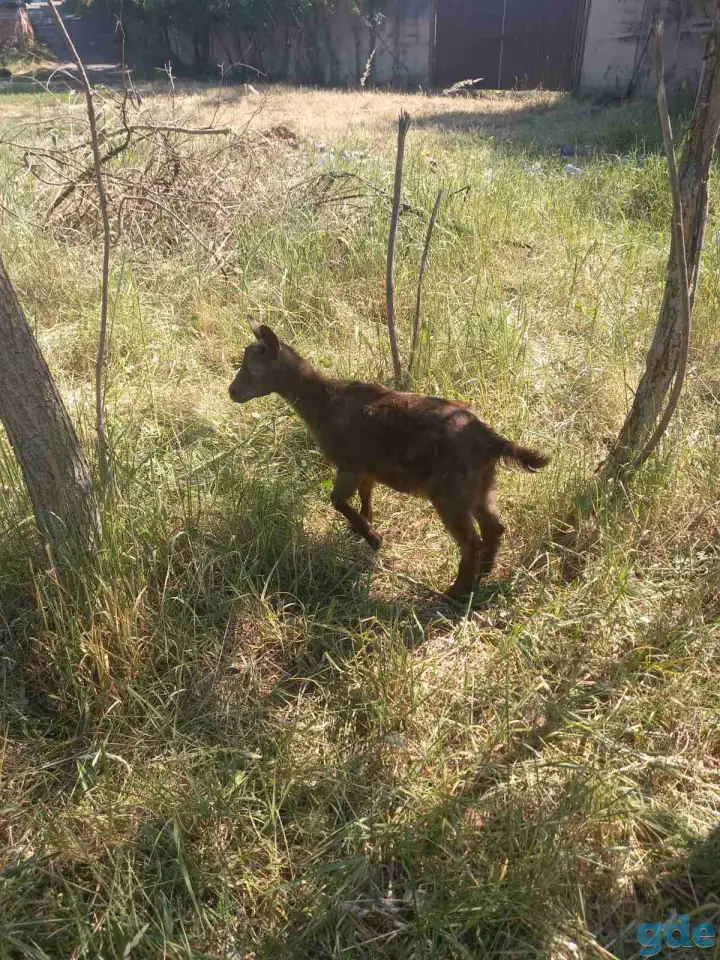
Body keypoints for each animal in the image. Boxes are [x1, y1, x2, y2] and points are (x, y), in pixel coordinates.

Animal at [229, 322, 549, 597]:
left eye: (254, 368)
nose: (232, 393)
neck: (325, 401)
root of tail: (489, 438)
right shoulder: (365, 467)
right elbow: (365, 495)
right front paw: (363, 525)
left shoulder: (348, 464)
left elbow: (337, 500)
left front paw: (373, 538)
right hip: (481, 484)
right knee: (494, 527)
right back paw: (483, 574)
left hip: (450, 492)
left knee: (471, 542)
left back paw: (457, 591)